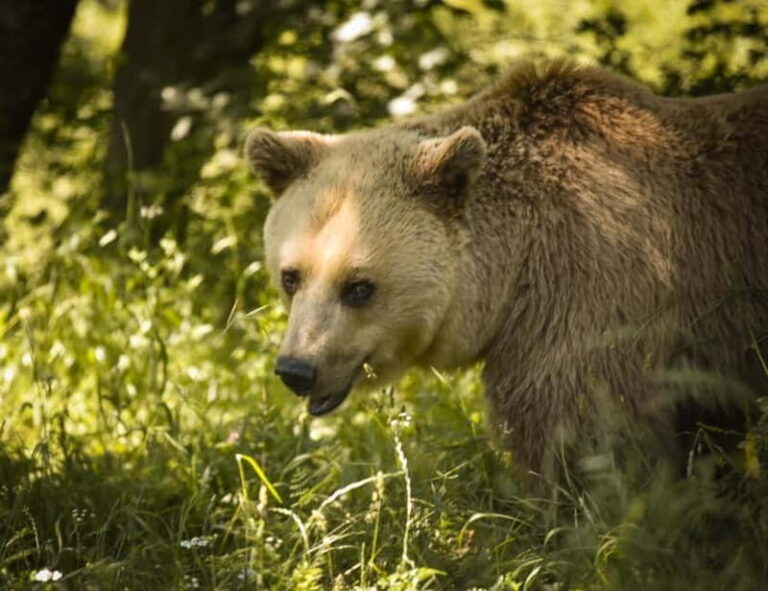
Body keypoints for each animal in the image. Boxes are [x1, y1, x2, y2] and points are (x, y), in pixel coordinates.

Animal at [245, 59, 768, 480]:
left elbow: (579, 428)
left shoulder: (593, 287)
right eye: (291, 276)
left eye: (358, 286)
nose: (297, 369)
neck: (512, 271)